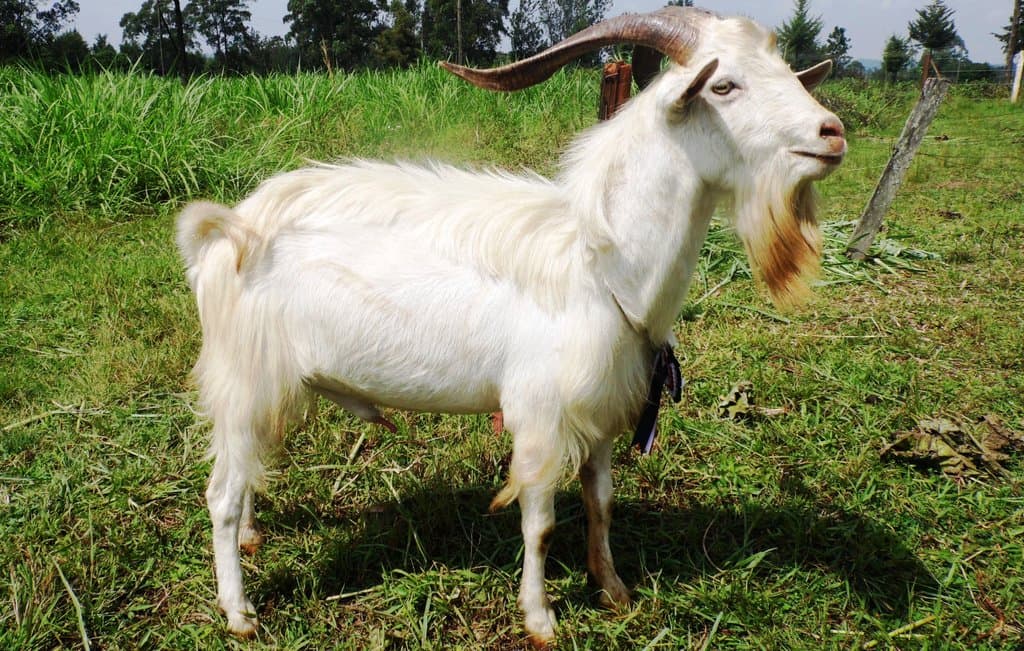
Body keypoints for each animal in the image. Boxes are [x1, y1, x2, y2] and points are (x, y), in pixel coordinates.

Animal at [176, 7, 846, 646]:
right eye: (724, 85)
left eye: (785, 69)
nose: (832, 133)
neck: (599, 259)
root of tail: (230, 227)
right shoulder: (541, 414)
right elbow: (540, 523)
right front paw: (540, 618)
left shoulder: (602, 410)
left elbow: (601, 502)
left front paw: (614, 589)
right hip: (243, 376)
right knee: (221, 495)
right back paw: (239, 612)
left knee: (247, 469)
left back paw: (253, 541)